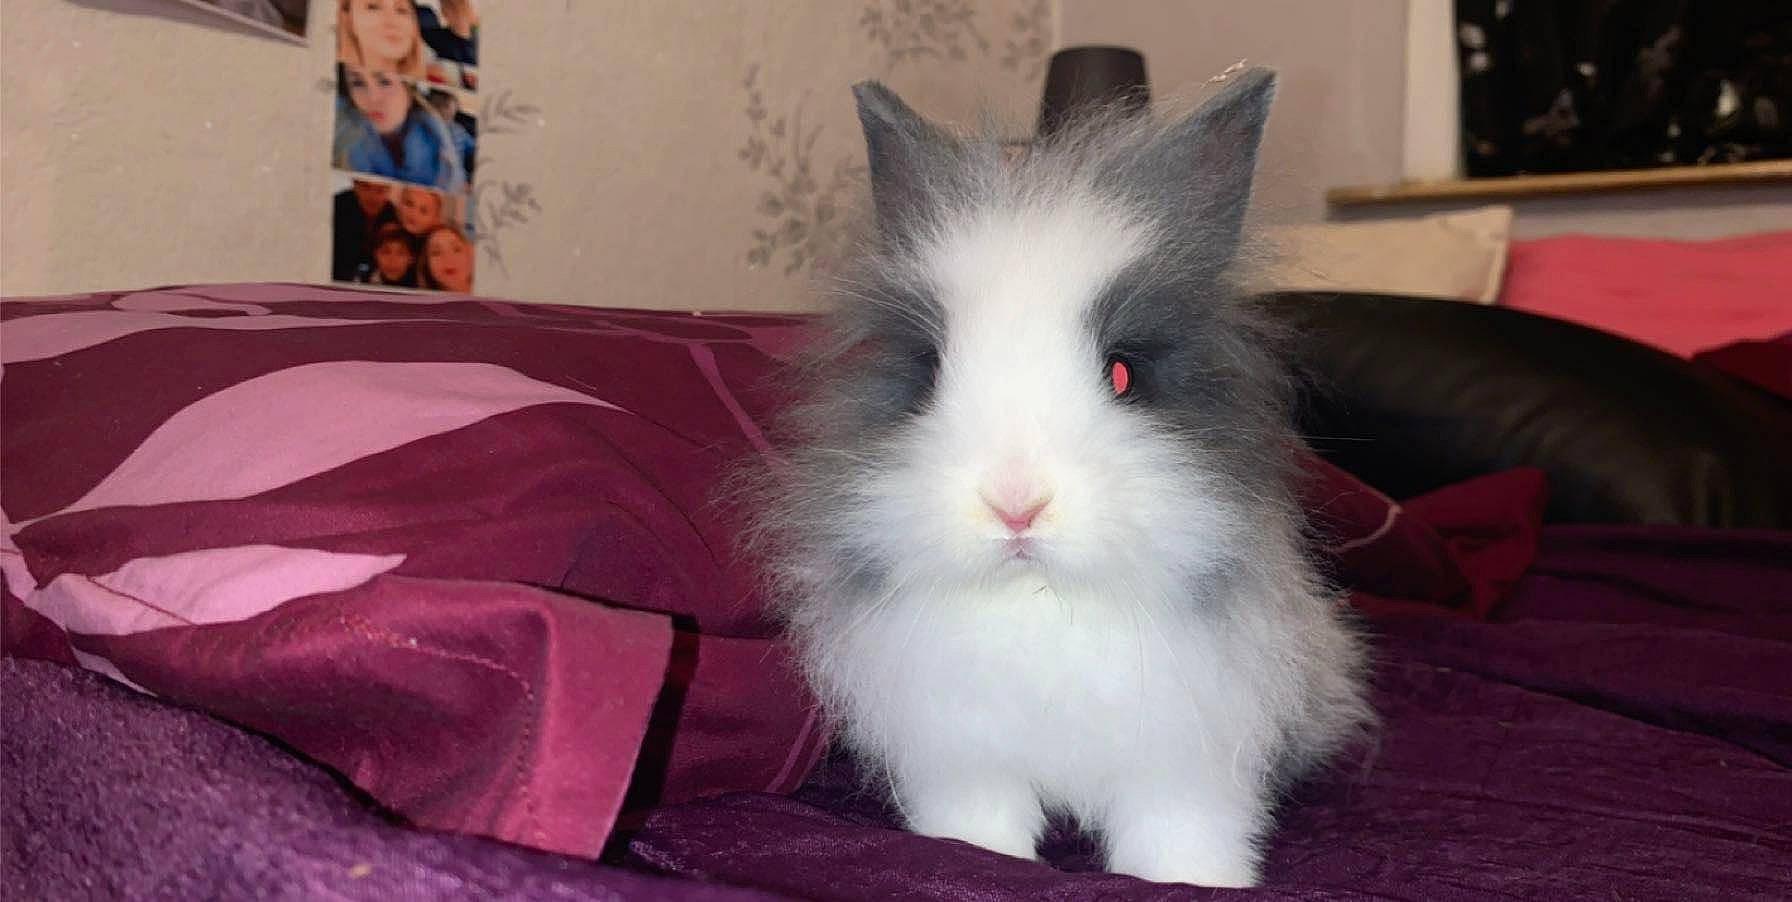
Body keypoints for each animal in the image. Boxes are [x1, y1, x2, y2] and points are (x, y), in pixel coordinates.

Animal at [743, 68, 1370, 889]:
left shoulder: (1187, 762)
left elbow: (1180, 832)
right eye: (930, 373)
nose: (1016, 505)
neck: (1041, 601)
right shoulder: (963, 753)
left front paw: (1198, 881)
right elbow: (978, 825)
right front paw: (975, 858)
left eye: (1124, 373)